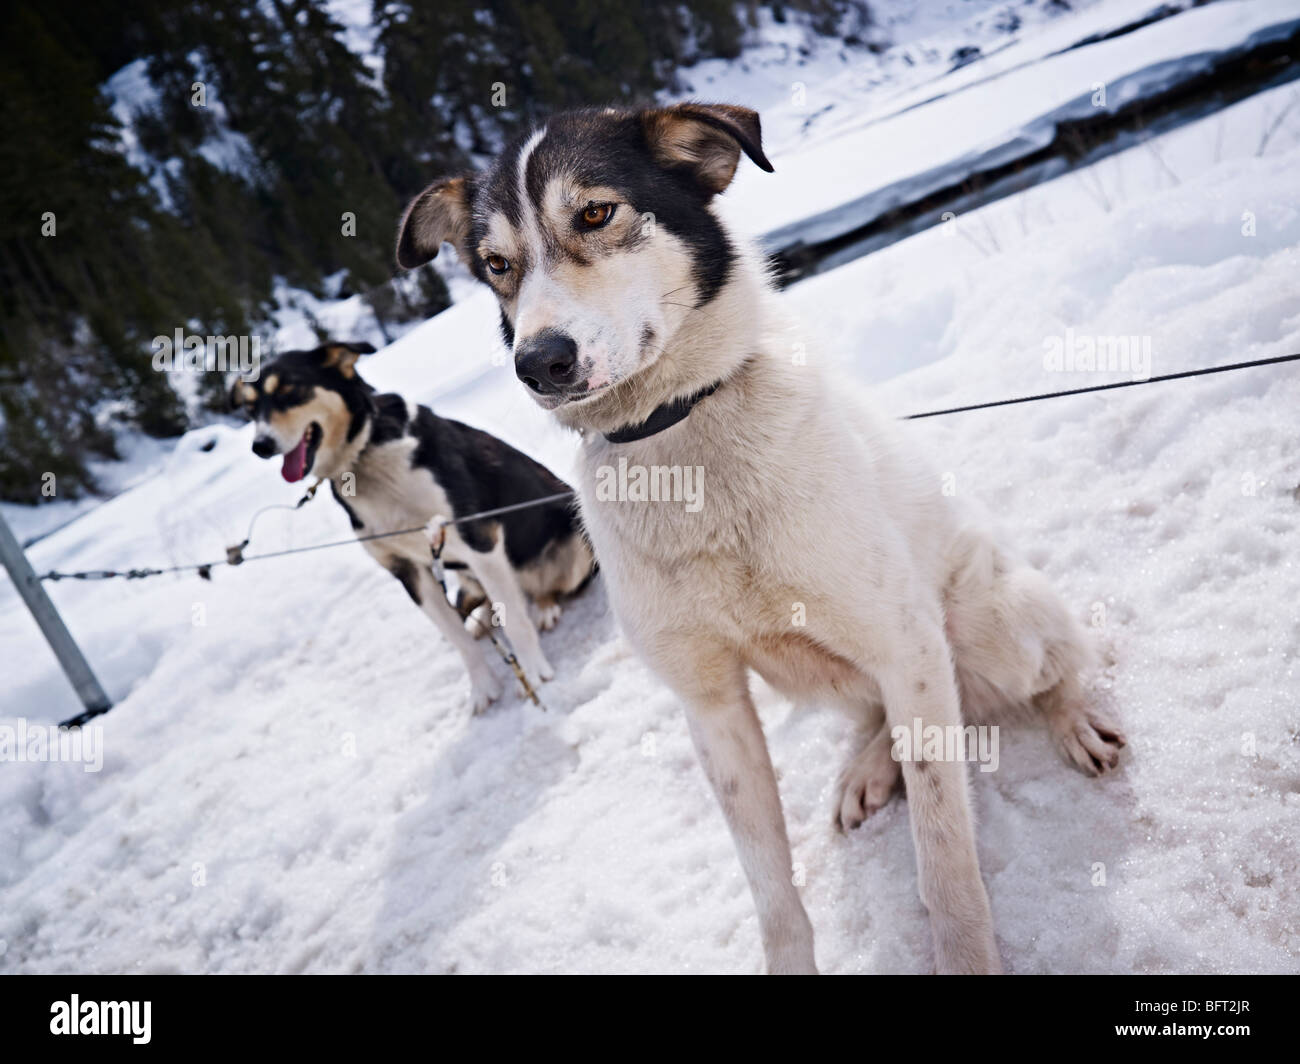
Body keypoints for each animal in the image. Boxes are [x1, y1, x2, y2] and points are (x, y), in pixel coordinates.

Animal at [232, 343, 595, 707]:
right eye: (250, 409)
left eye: (289, 391)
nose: (260, 445)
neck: (363, 455)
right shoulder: (407, 570)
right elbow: (458, 638)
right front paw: (482, 687)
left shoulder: (480, 541)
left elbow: (516, 621)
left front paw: (532, 673)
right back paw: (480, 619)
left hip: (573, 539)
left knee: (541, 591)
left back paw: (544, 607)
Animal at [390, 101, 1123, 967]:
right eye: (497, 264)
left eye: (596, 214)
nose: (539, 361)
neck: (682, 438)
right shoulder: (712, 705)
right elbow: (771, 887)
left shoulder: (906, 645)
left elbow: (944, 857)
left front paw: (965, 954)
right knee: (881, 722)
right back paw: (869, 769)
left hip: (991, 621)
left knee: (1058, 666)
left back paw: (1074, 718)